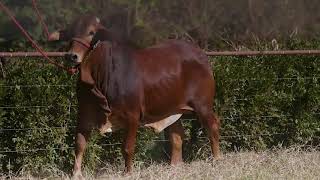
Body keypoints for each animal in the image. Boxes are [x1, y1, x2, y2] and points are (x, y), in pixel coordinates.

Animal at [50, 15, 220, 179]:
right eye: (70, 32)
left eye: (91, 32)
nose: (71, 56)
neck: (100, 75)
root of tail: (200, 54)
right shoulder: (84, 114)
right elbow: (79, 144)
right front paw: (76, 173)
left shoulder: (132, 116)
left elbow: (127, 147)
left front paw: (128, 173)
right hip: (172, 109)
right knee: (176, 137)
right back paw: (174, 168)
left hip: (203, 106)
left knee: (212, 127)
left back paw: (217, 160)